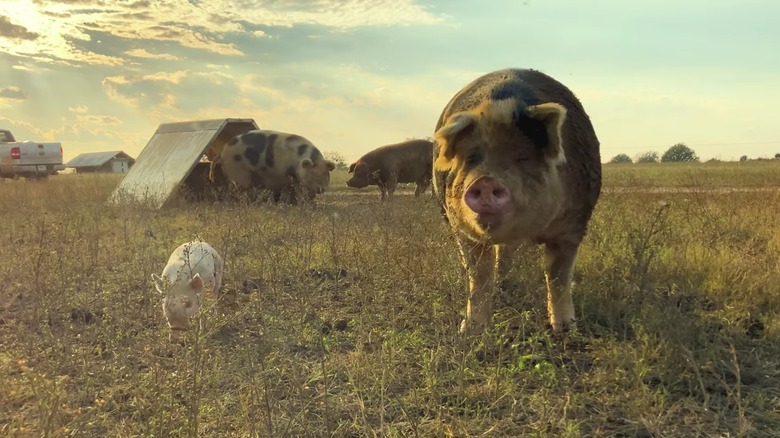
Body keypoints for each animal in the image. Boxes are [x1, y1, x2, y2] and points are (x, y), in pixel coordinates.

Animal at [432, 68, 604, 334]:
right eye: (471, 158)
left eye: (521, 158)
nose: (485, 181)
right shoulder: (460, 228)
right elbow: (478, 274)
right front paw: (471, 331)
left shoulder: (574, 224)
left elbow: (557, 274)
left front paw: (565, 329)